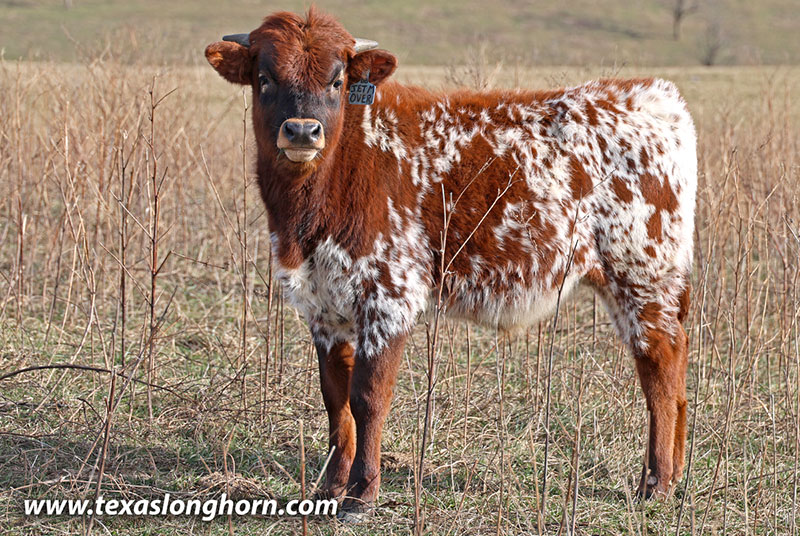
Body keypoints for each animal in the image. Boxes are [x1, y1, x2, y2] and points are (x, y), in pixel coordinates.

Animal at [205, 8, 696, 520]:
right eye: (264, 78)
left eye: (337, 80)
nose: (302, 131)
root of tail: (652, 95)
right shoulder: (323, 305)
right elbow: (335, 398)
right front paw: (331, 487)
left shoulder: (389, 294)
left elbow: (367, 397)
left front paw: (361, 493)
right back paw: (674, 473)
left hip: (642, 273)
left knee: (660, 367)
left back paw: (656, 483)